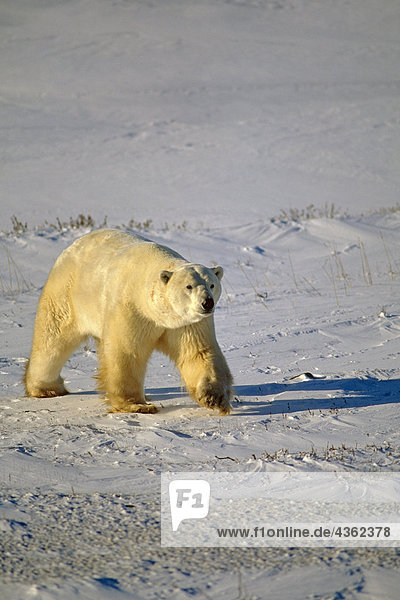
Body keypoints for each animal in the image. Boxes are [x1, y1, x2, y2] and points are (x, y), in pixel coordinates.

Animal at [24, 227, 231, 414]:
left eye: (212, 284)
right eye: (189, 286)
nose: (207, 303)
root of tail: (71, 247)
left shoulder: (185, 322)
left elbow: (198, 352)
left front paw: (214, 398)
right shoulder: (131, 308)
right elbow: (127, 352)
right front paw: (137, 405)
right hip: (68, 295)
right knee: (53, 339)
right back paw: (47, 388)